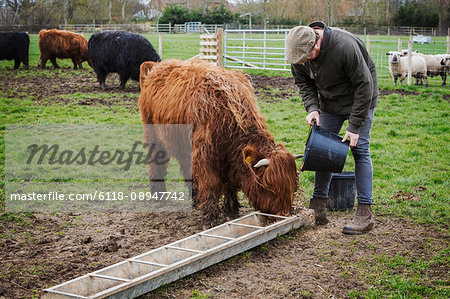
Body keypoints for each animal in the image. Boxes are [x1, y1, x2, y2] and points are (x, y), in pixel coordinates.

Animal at [137, 59, 298, 223]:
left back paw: (194, 197)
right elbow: (211, 184)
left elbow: (230, 184)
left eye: (292, 186)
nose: (284, 215)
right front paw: (210, 216)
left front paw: (231, 208)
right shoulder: (204, 157)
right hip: (154, 135)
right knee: (156, 164)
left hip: (183, 144)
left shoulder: (227, 160)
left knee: (186, 167)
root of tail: (158, 65)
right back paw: (159, 195)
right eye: (269, 186)